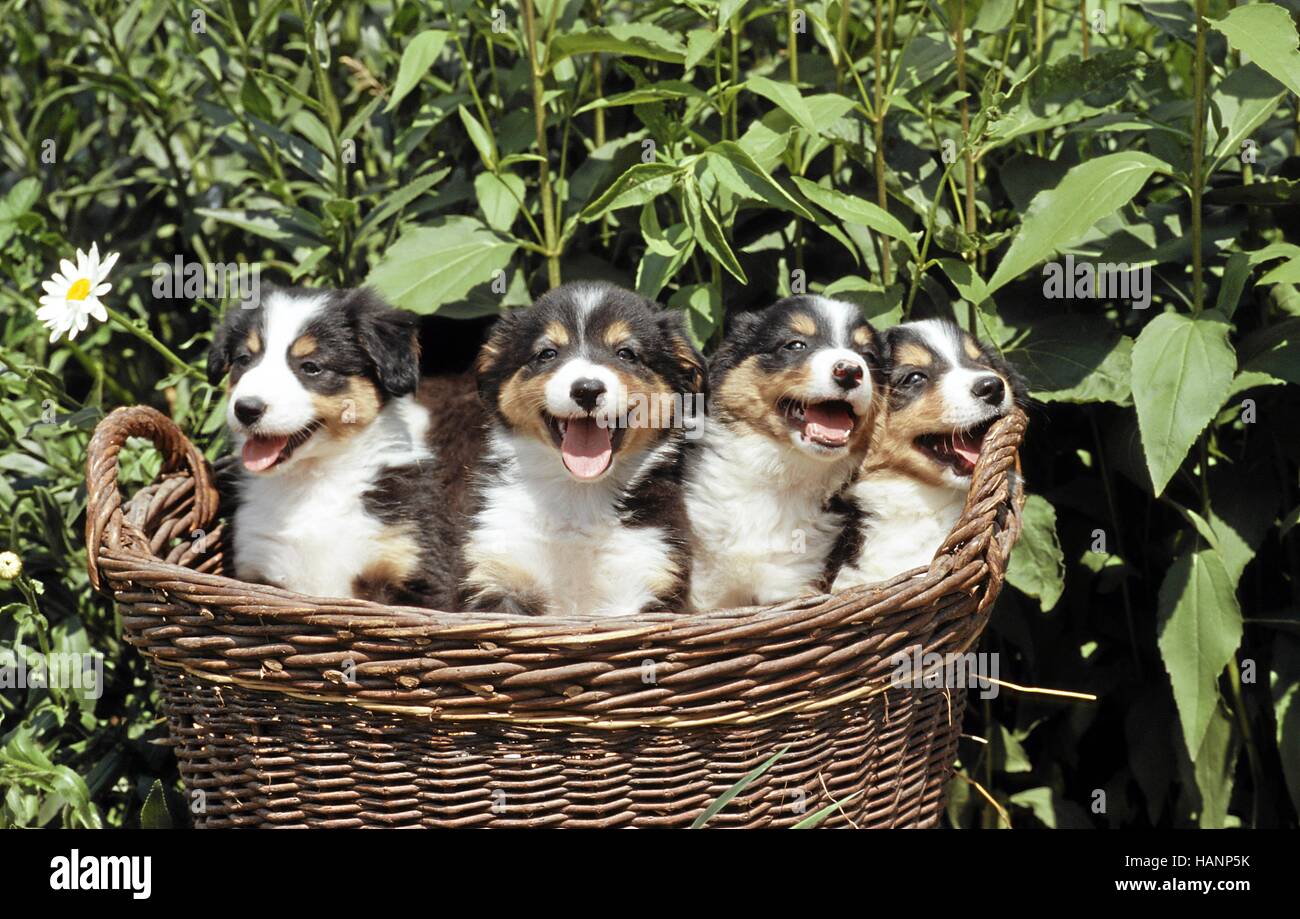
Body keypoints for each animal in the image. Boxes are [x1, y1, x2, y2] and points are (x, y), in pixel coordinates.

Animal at [210, 283, 475, 608]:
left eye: (311, 367)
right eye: (244, 360)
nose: (246, 409)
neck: (314, 480)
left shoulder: (417, 569)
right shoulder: (258, 567)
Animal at [465, 282, 712, 618]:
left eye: (626, 354)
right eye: (547, 353)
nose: (587, 390)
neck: (579, 494)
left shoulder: (647, 572)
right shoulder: (499, 568)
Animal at [681, 296, 883, 610]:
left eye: (869, 356)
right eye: (796, 345)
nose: (850, 370)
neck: (783, 472)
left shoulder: (795, 580)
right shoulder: (705, 588)